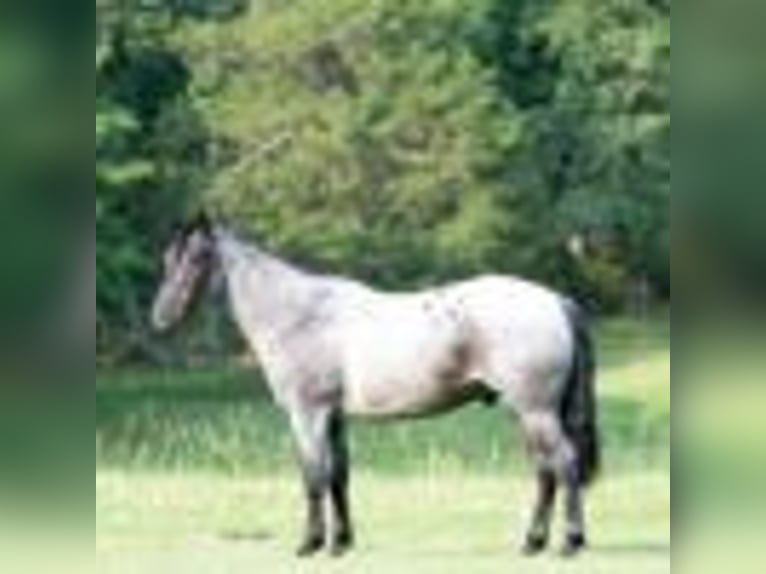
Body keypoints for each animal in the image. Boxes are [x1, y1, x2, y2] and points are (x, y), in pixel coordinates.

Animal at [150, 213, 600, 558]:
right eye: (168, 258)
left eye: (197, 257)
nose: (162, 317)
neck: (300, 315)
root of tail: (556, 301)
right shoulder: (333, 417)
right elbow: (338, 476)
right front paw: (342, 543)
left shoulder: (308, 414)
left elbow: (314, 475)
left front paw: (312, 544)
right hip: (529, 414)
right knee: (546, 473)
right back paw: (533, 543)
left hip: (536, 412)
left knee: (564, 464)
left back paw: (570, 542)